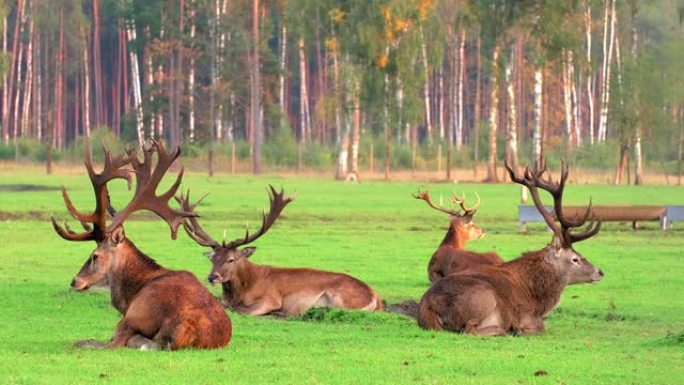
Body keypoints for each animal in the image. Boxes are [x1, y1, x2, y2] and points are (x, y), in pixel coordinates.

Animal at [50, 140, 232, 350]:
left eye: (95, 255)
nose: (75, 281)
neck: (128, 296)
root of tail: (189, 331)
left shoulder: (127, 318)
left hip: (135, 317)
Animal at [176, 185, 384, 316]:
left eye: (231, 259)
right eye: (212, 258)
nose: (212, 277)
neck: (244, 289)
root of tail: (376, 297)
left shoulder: (270, 299)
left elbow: (237, 310)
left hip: (339, 297)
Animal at [416, 158, 604, 334]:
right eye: (575, 259)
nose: (600, 272)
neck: (537, 298)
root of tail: (428, 306)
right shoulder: (524, 313)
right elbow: (542, 326)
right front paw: (520, 329)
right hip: (484, 296)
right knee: (469, 329)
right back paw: (504, 330)